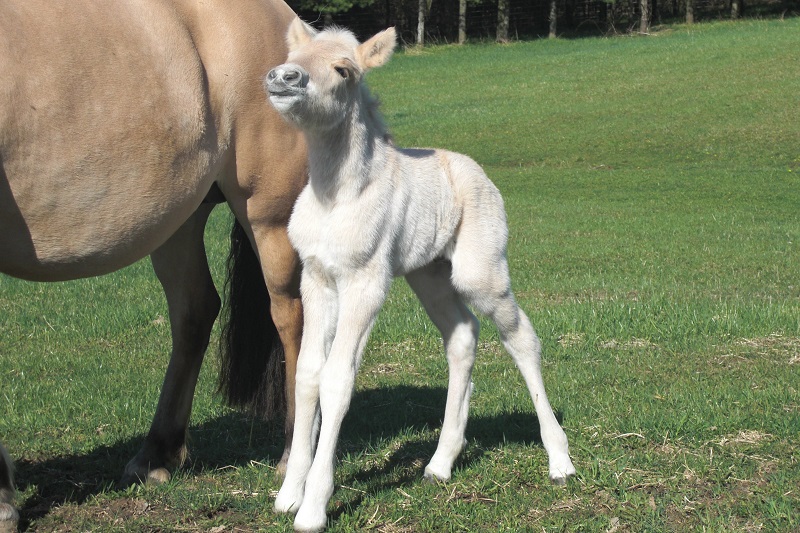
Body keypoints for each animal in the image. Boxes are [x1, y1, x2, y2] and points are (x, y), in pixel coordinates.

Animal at [0, 0, 307, 528]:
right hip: (179, 220)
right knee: (195, 311)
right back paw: (157, 454)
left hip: (269, 213)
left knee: (293, 317)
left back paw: (293, 454)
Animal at [265, 19, 577, 532]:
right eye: (295, 55)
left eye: (344, 69)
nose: (283, 78)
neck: (337, 195)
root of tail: (477, 170)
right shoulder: (317, 278)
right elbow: (308, 373)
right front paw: (288, 494)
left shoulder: (365, 281)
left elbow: (337, 379)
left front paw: (313, 508)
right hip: (429, 274)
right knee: (463, 334)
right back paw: (440, 463)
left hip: (480, 271)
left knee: (521, 337)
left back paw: (559, 460)